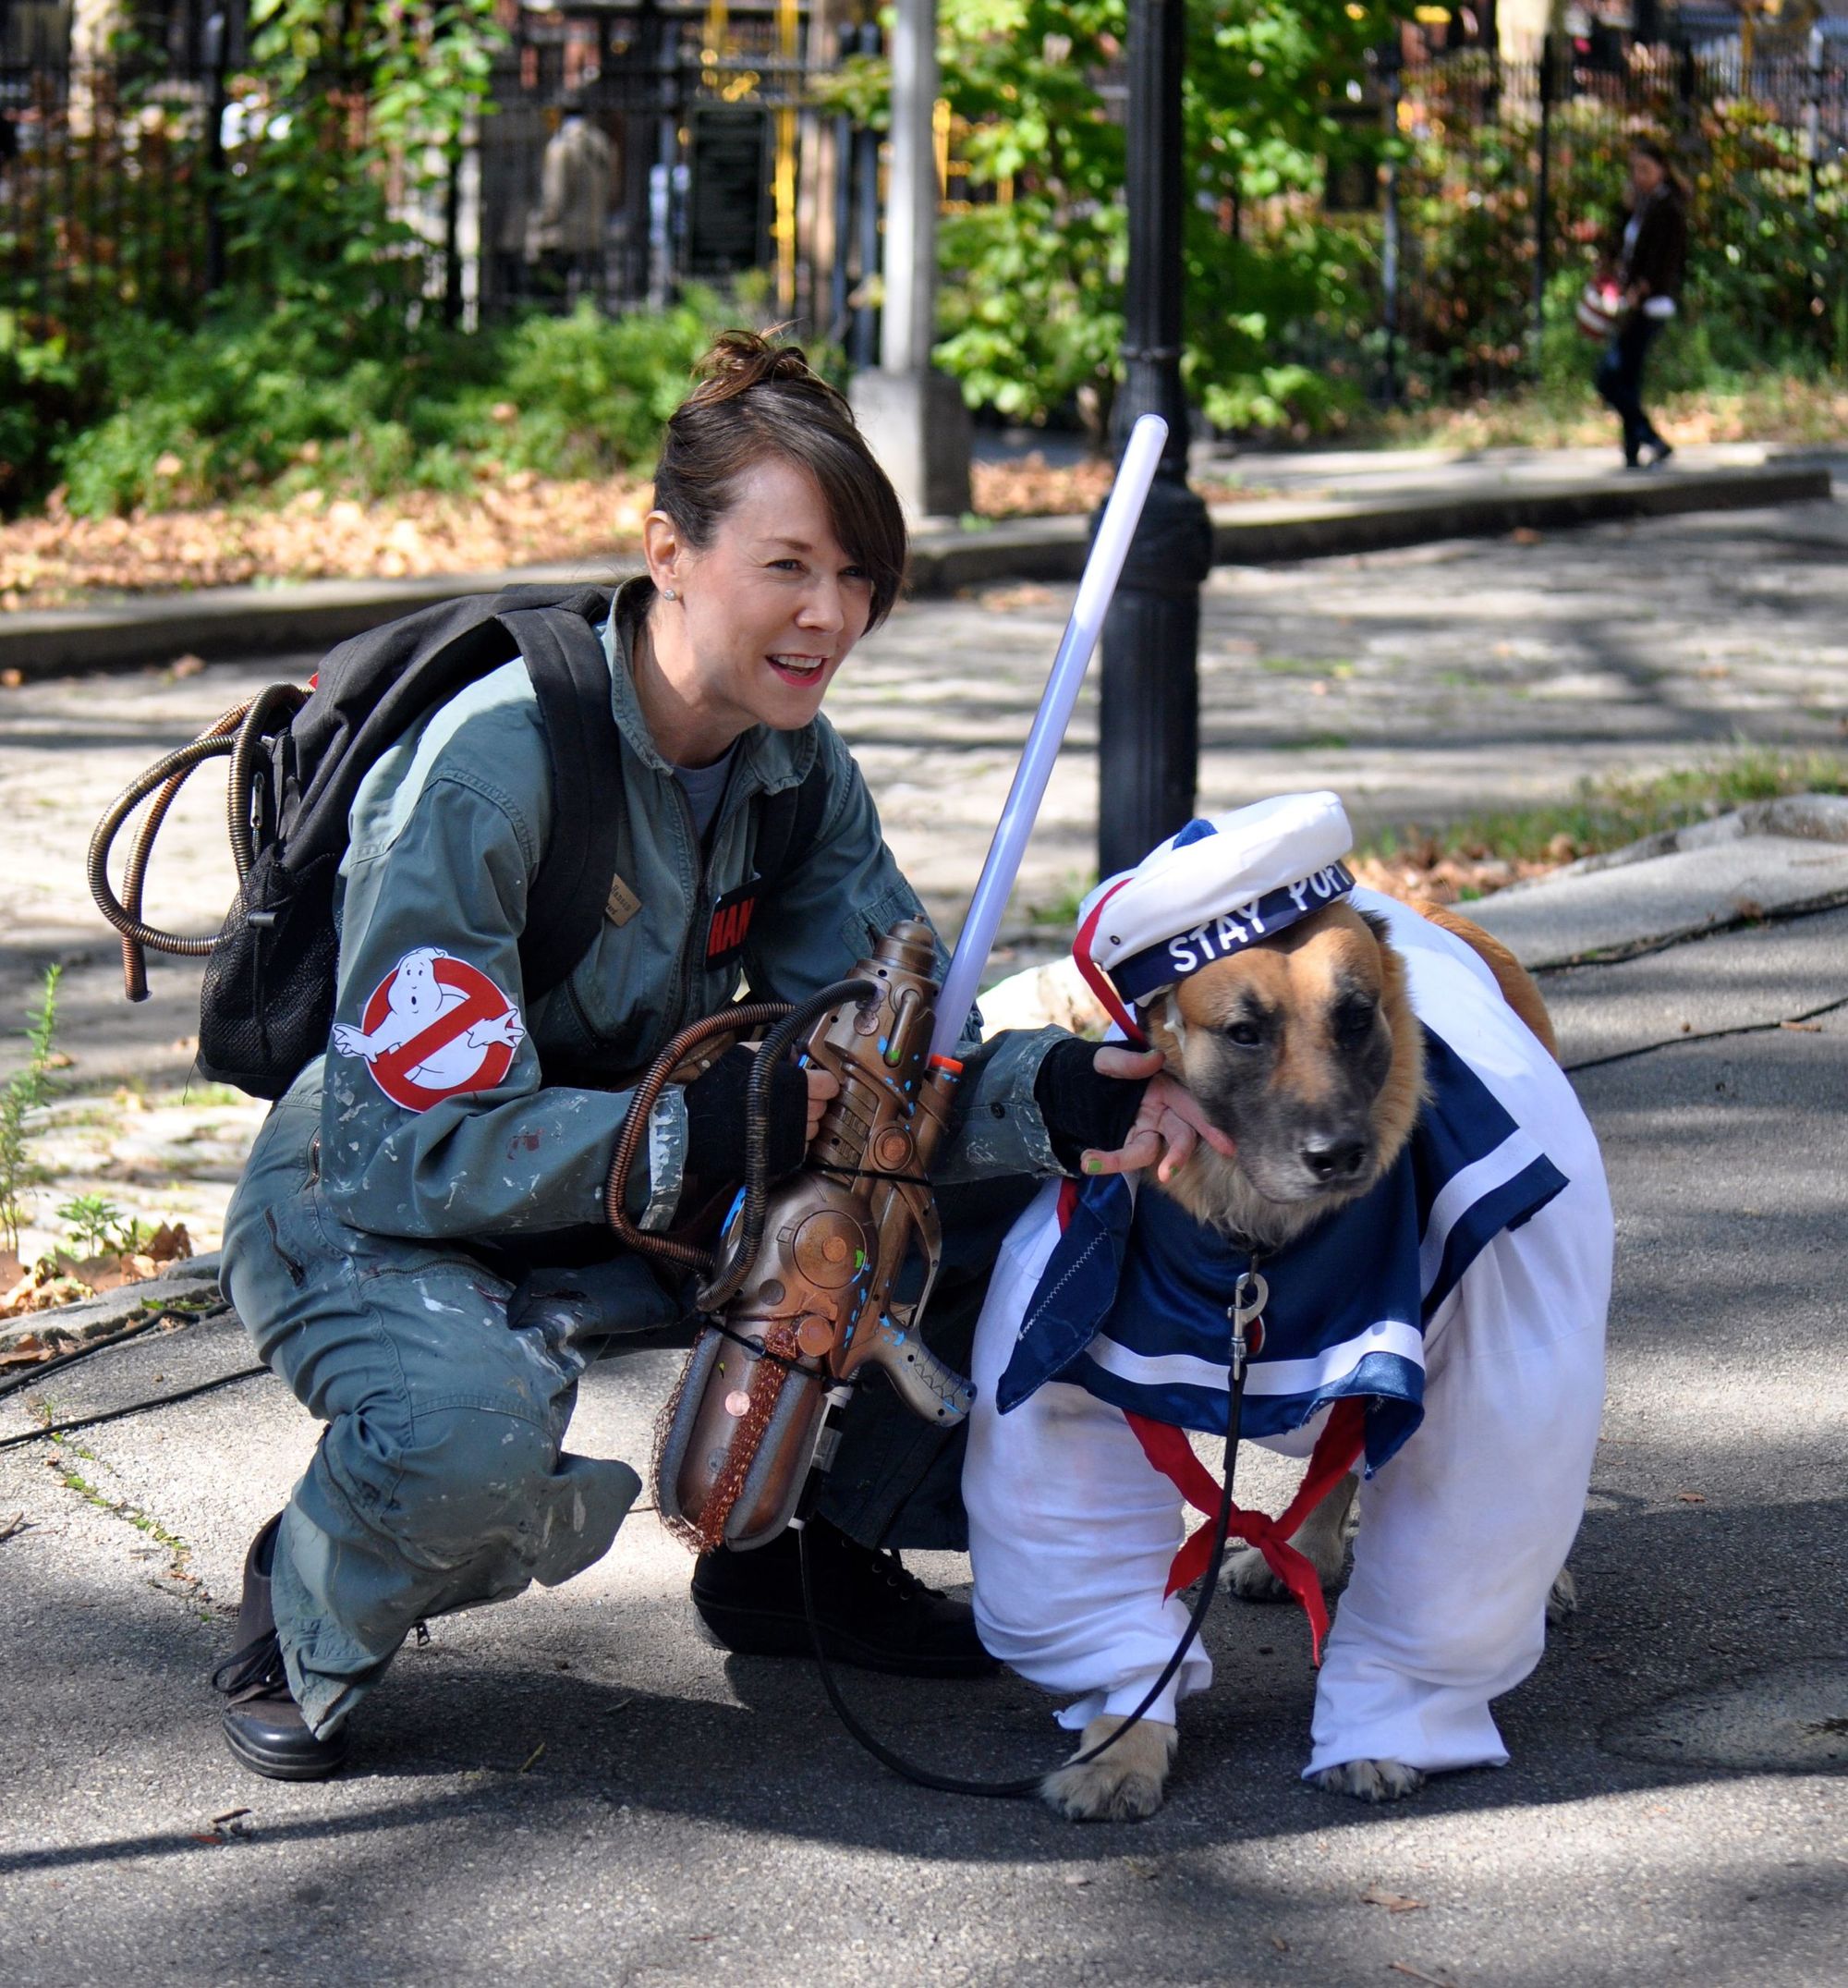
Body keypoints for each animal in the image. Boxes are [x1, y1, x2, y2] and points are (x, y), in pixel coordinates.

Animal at [957, 799, 1605, 1821]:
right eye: (1244, 1032)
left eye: (1355, 1016)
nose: (1337, 1154)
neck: (1253, 1248)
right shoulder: (1069, 1396)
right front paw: (1122, 1745)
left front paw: (1381, 1731)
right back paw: (1296, 1550)